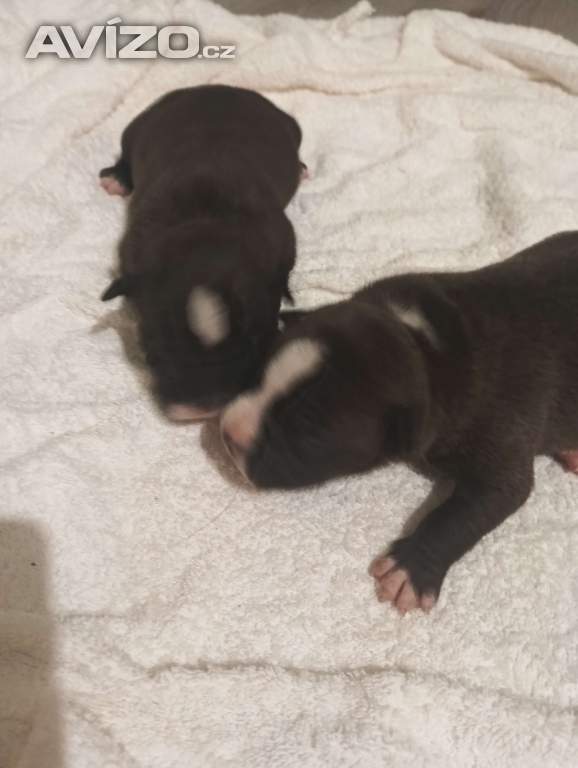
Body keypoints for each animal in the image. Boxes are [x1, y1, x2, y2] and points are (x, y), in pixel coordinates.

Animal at [100, 85, 305, 421]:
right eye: (152, 352)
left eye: (256, 341)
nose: (203, 410)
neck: (205, 223)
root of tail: (218, 88)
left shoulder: (284, 239)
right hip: (137, 127)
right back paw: (116, 177)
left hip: (291, 127)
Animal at [220, 231, 578, 613]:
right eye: (260, 372)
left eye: (305, 436)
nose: (227, 434)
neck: (426, 349)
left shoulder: (500, 424)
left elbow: (476, 505)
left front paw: (411, 567)